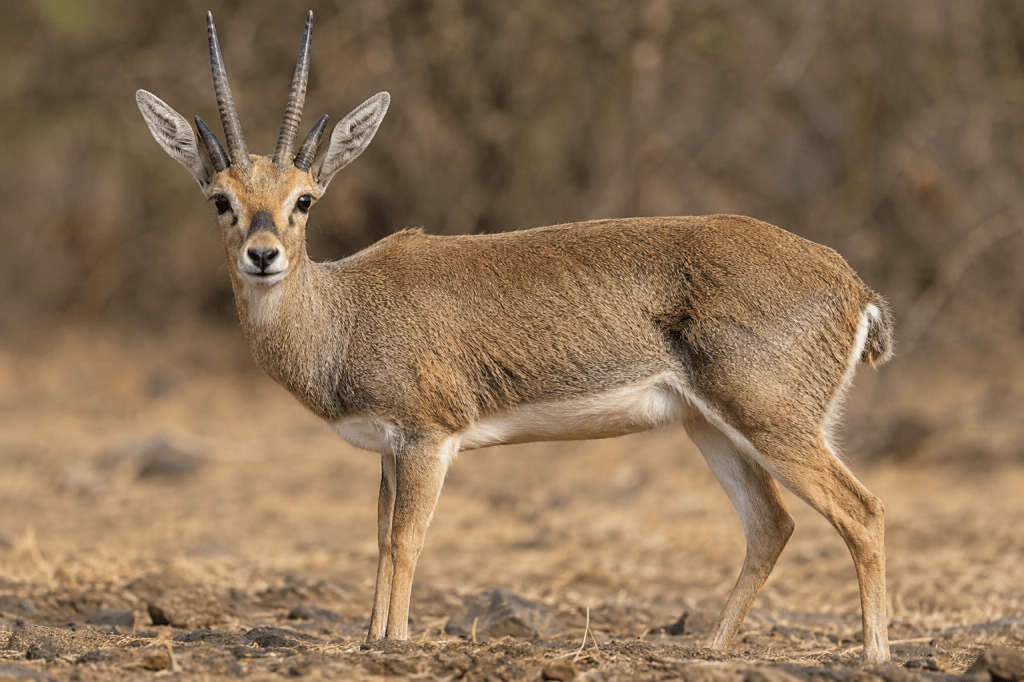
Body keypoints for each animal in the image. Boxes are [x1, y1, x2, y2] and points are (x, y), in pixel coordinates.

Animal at [136, 11, 895, 664]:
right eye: (221, 199)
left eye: (304, 198)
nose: (262, 256)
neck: (345, 312)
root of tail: (853, 285)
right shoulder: (389, 449)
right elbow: (380, 539)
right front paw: (372, 638)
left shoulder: (428, 438)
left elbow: (407, 540)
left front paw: (396, 644)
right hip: (710, 426)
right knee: (771, 524)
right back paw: (709, 648)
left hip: (772, 422)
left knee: (862, 510)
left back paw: (874, 654)